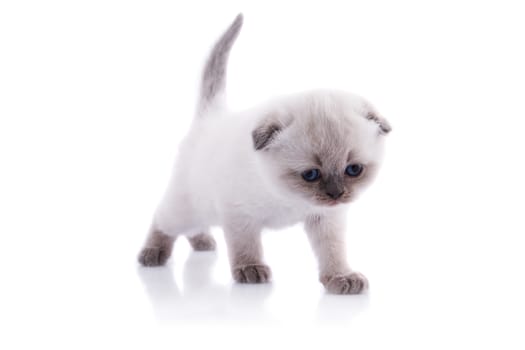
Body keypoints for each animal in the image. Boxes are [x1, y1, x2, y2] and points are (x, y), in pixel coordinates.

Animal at [137, 13, 390, 294]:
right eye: (311, 174)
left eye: (353, 170)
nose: (336, 194)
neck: (288, 197)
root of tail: (211, 116)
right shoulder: (240, 215)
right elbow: (246, 246)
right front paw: (251, 270)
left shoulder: (325, 218)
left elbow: (333, 251)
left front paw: (341, 277)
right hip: (186, 208)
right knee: (162, 219)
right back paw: (152, 253)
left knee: (193, 226)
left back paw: (202, 242)